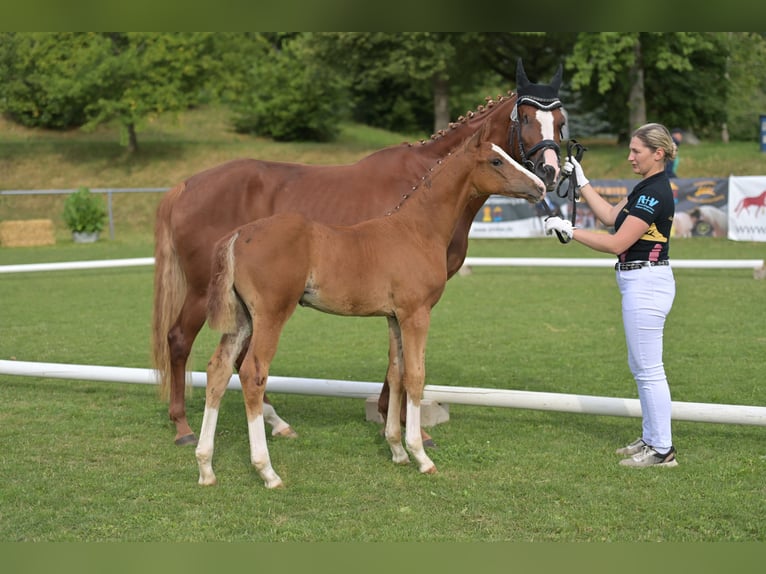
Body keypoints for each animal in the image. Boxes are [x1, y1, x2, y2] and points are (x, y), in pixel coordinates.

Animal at [152, 59, 566, 447]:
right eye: (525, 118)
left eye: (561, 121)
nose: (547, 174)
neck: (422, 190)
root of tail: (186, 186)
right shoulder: (410, 301)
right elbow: (404, 364)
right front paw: (403, 425)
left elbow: (397, 362)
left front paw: (390, 419)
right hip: (204, 291)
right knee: (180, 340)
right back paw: (183, 426)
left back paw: (275, 422)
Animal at [196, 123, 546, 487]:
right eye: (496, 160)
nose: (540, 186)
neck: (417, 230)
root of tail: (238, 236)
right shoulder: (416, 314)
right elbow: (415, 376)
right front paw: (421, 455)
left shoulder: (393, 317)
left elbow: (395, 373)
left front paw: (397, 450)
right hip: (271, 315)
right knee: (253, 372)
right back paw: (267, 471)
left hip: (242, 319)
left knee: (218, 369)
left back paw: (206, 467)